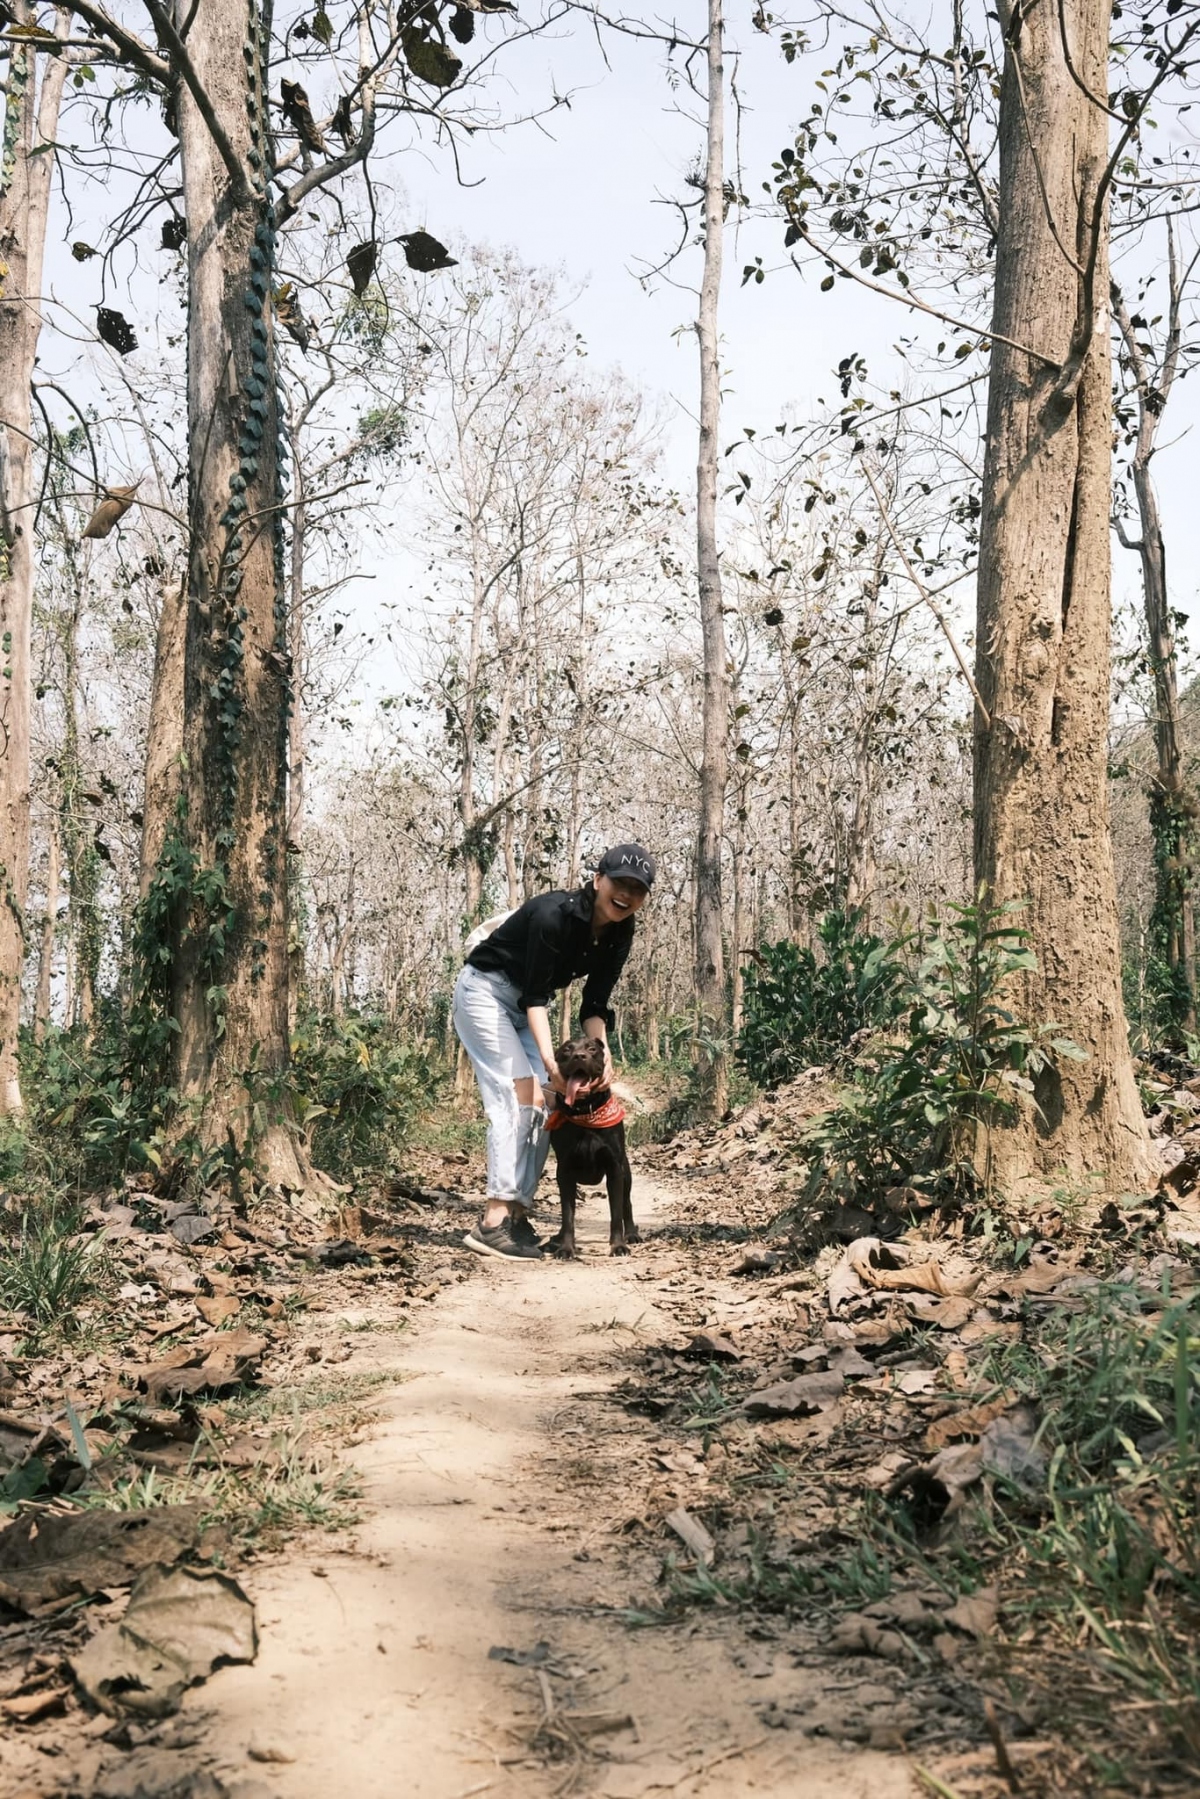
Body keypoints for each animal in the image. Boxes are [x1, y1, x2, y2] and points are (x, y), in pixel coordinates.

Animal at [546, 1036, 636, 1259]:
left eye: (592, 1049)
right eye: (566, 1050)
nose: (579, 1056)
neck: (585, 1112)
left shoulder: (614, 1168)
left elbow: (616, 1213)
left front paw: (618, 1245)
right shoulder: (564, 1171)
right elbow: (567, 1215)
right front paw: (566, 1248)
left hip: (626, 1171)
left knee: (627, 1203)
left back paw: (632, 1234)